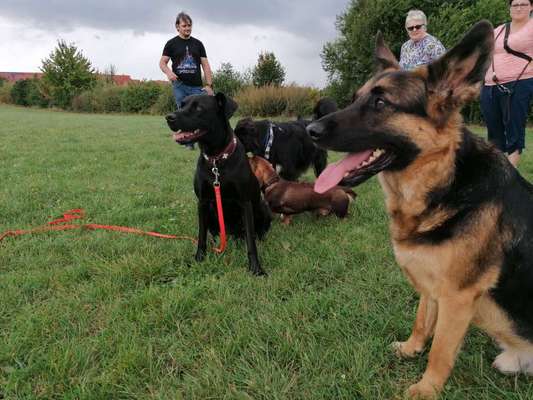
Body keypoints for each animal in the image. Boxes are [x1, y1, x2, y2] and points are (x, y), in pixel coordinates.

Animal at [165, 93, 270, 276]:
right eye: (181, 105)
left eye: (199, 108)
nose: (169, 117)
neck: (217, 159)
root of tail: (233, 234)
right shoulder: (202, 202)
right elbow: (201, 235)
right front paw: (199, 258)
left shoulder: (245, 203)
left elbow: (251, 241)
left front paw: (256, 268)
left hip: (261, 207)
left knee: (257, 231)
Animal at [306, 21, 532, 396]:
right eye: (355, 99)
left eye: (381, 102)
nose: (310, 130)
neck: (445, 180)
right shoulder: (432, 287)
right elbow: (423, 321)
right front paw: (412, 349)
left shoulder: (457, 298)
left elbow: (440, 349)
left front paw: (426, 389)